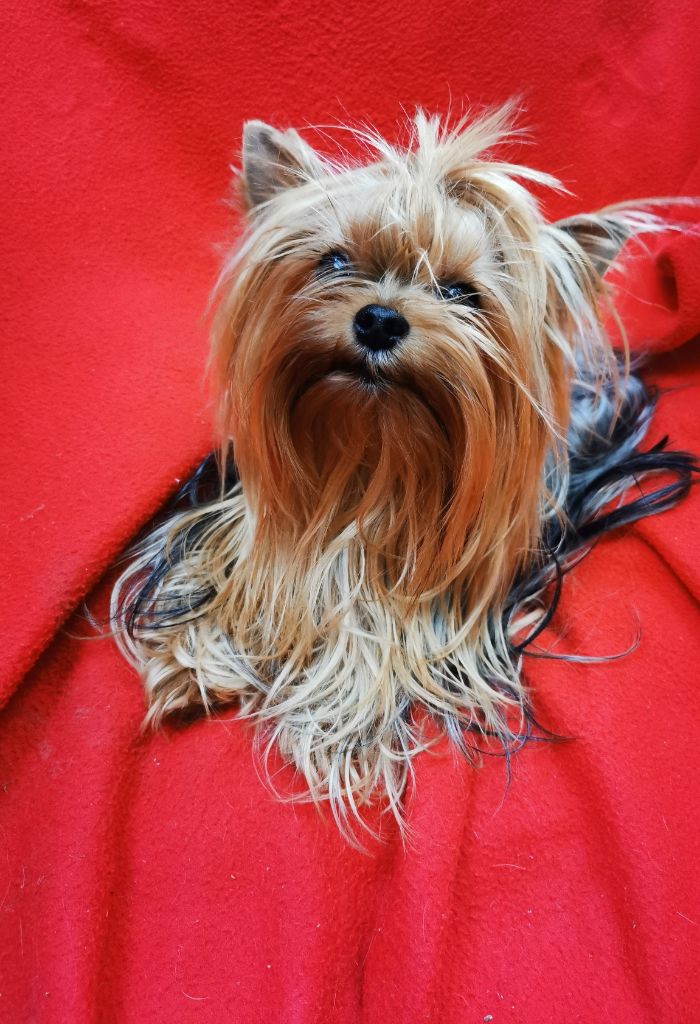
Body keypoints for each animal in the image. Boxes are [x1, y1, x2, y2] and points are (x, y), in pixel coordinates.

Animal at [110, 105, 695, 831]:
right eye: (334, 260)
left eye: (462, 293)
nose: (380, 319)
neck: (370, 464)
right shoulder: (219, 524)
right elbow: (214, 575)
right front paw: (189, 666)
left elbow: (378, 646)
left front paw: (334, 709)